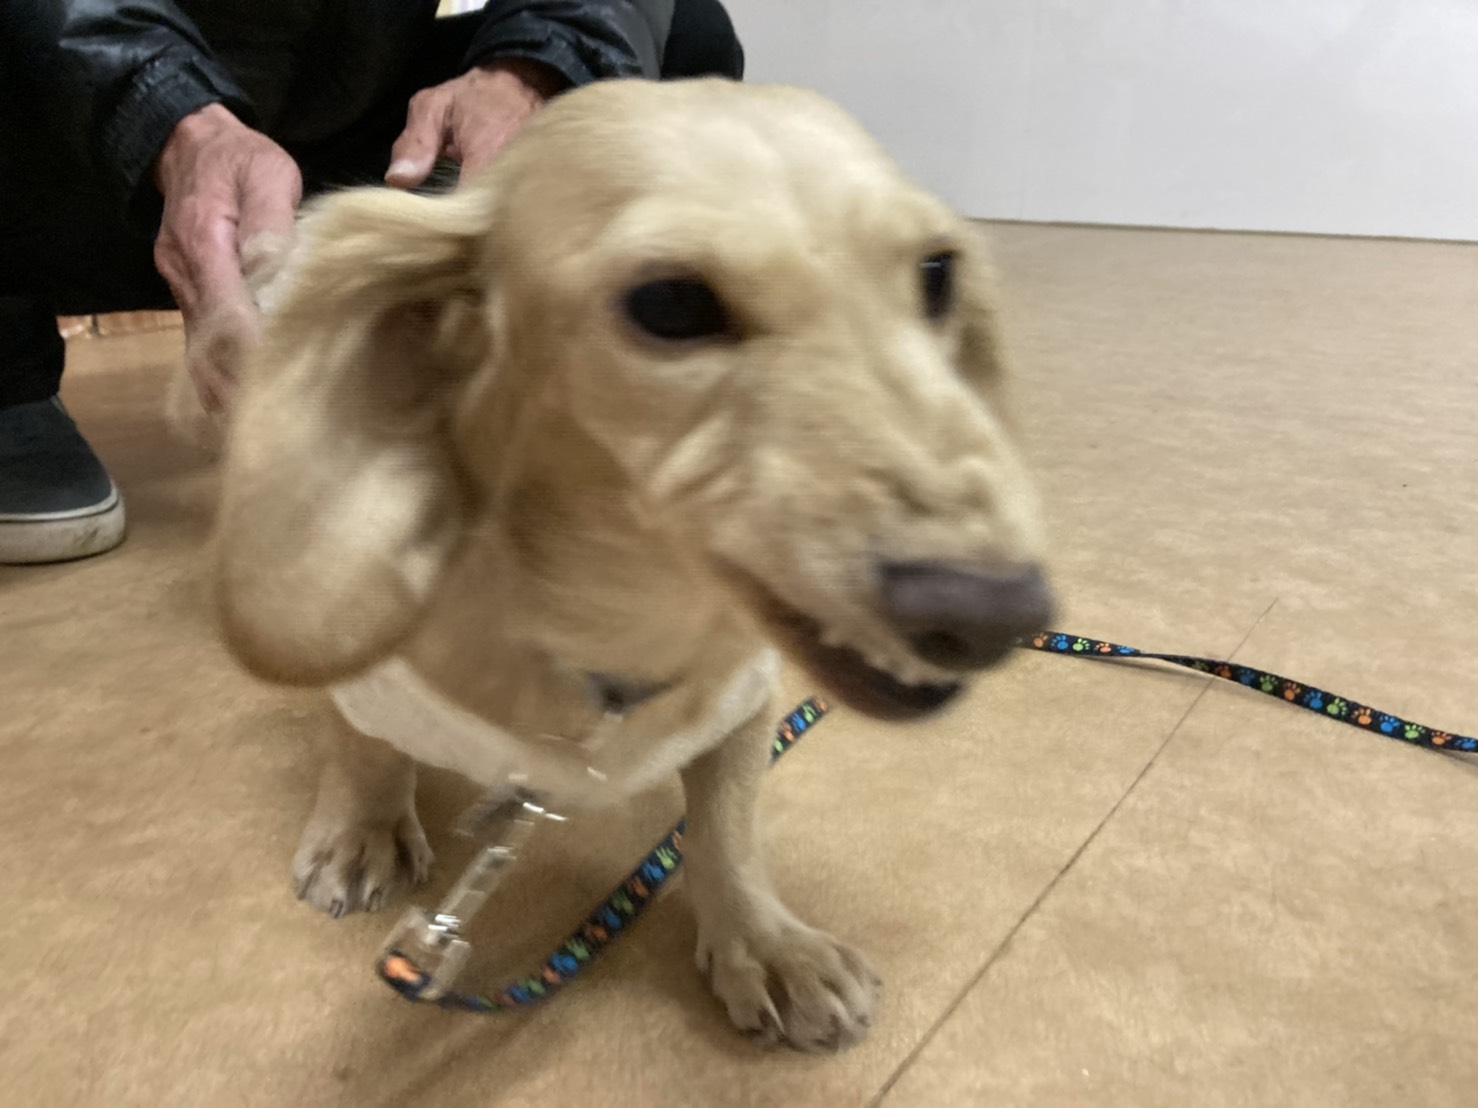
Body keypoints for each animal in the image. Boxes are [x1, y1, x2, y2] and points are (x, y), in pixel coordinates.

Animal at [207, 77, 1053, 1053]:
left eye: (938, 272)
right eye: (672, 304)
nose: (999, 614)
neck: (620, 634)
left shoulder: (742, 707)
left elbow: (726, 829)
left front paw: (765, 943)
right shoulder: (372, 675)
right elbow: (361, 745)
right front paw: (362, 831)